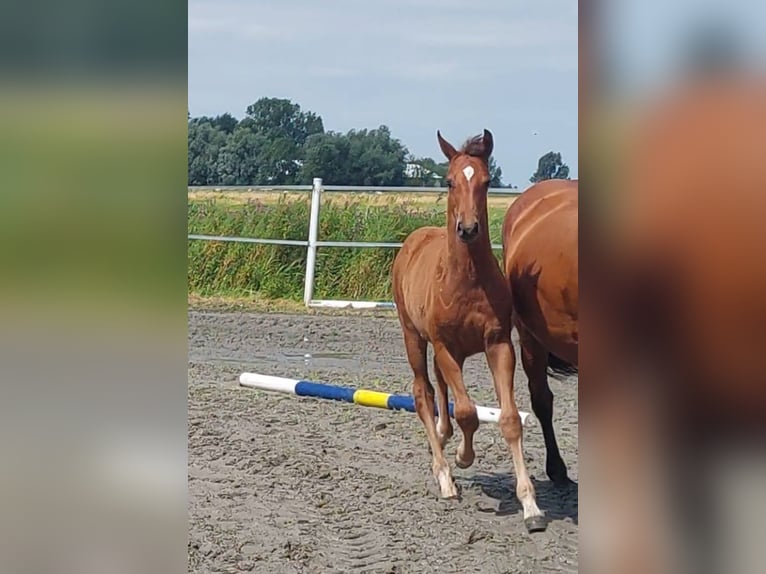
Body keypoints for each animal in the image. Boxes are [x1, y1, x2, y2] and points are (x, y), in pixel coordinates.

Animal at [396, 130, 544, 536]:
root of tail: (414, 239)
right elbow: (467, 412)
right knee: (423, 393)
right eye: (448, 181)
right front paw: (463, 458)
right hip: (414, 337)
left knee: (439, 390)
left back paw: (443, 439)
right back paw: (445, 475)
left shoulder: (498, 344)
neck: (467, 279)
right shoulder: (445, 346)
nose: (467, 229)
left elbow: (509, 419)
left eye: (487, 181)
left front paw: (531, 506)